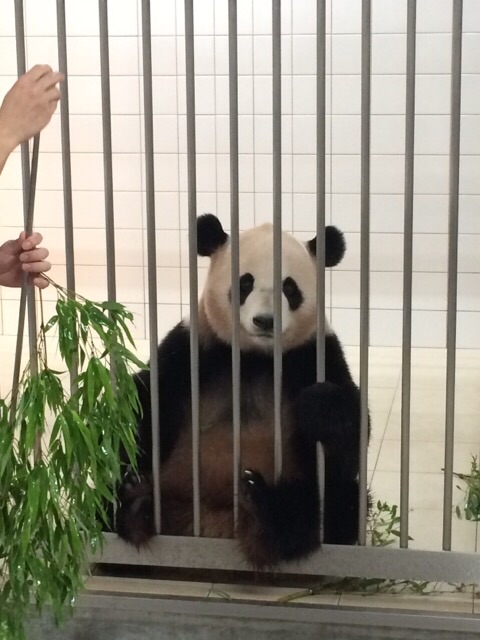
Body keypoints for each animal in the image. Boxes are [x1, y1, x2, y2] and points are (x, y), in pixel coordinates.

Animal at [115, 214, 368, 570]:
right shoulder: (194, 348)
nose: (265, 321)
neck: (254, 358)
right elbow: (146, 400)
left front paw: (321, 407)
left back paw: (266, 509)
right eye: (245, 283)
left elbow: (348, 439)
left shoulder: (313, 354)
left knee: (337, 504)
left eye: (289, 288)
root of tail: (213, 523)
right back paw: (136, 501)